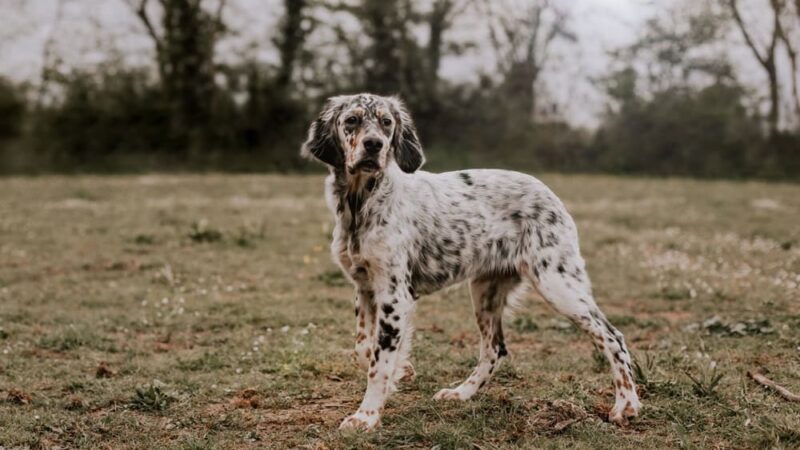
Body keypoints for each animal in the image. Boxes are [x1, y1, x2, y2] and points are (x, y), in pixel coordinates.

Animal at [302, 93, 644, 430]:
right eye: (352, 120)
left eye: (387, 122)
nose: (374, 145)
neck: (360, 204)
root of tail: (549, 193)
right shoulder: (364, 287)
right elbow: (364, 348)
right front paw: (404, 369)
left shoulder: (394, 293)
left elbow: (379, 363)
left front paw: (367, 416)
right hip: (485, 292)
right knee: (495, 349)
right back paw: (461, 393)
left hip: (557, 284)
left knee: (612, 336)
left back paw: (626, 405)